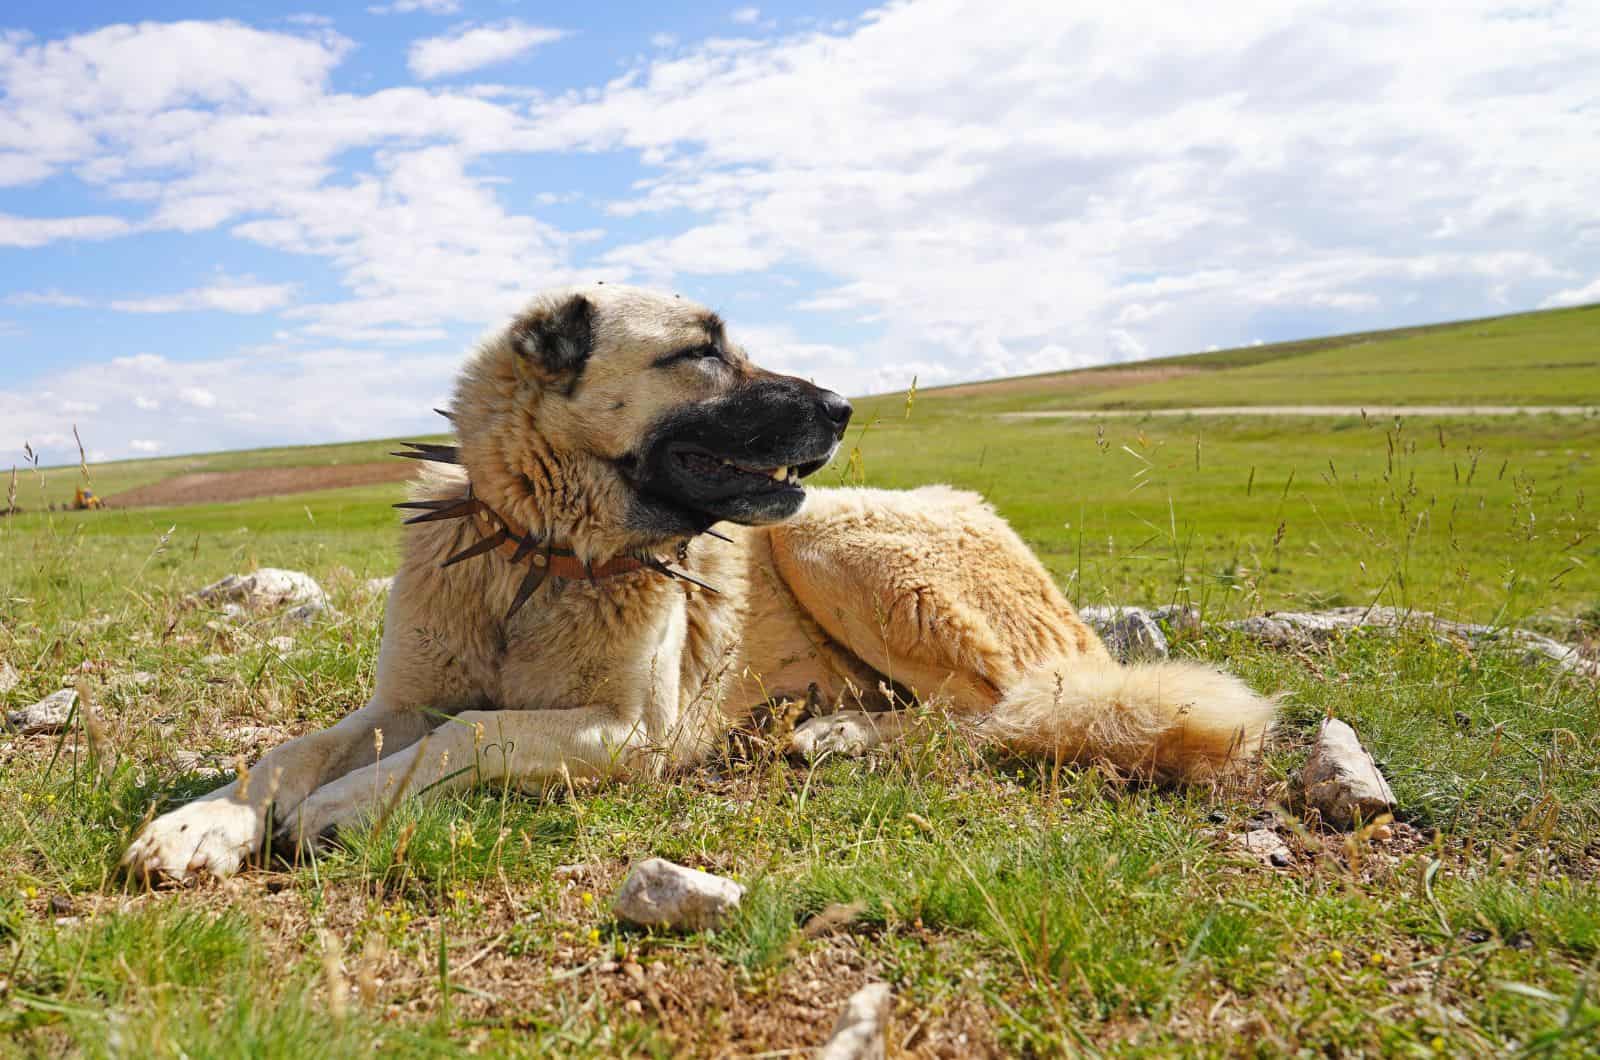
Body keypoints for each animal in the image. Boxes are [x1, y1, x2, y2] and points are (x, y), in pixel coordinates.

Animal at [121, 286, 1273, 883]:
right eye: (701, 353)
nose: (845, 406)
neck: (540, 556)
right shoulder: (402, 701)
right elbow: (289, 750)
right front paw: (203, 823)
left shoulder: (629, 732)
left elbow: (468, 735)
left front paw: (343, 807)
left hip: (839, 539)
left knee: (993, 713)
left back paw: (836, 734)